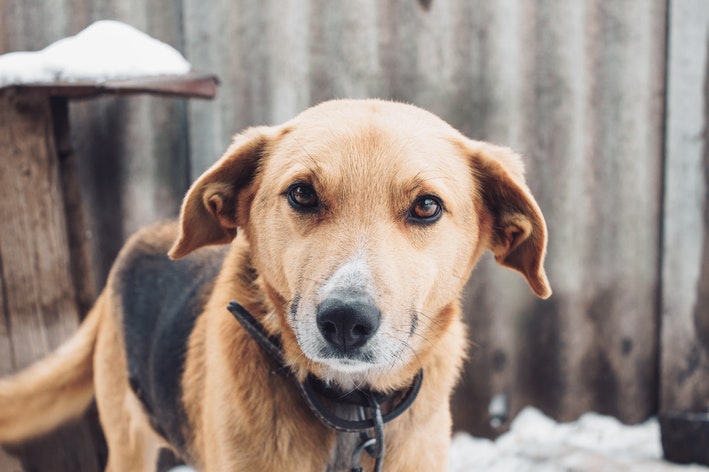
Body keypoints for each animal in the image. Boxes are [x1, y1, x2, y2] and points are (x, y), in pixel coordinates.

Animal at [0, 97, 552, 470]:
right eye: (302, 194)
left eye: (427, 206)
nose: (346, 320)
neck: (353, 408)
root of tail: (138, 240)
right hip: (127, 443)